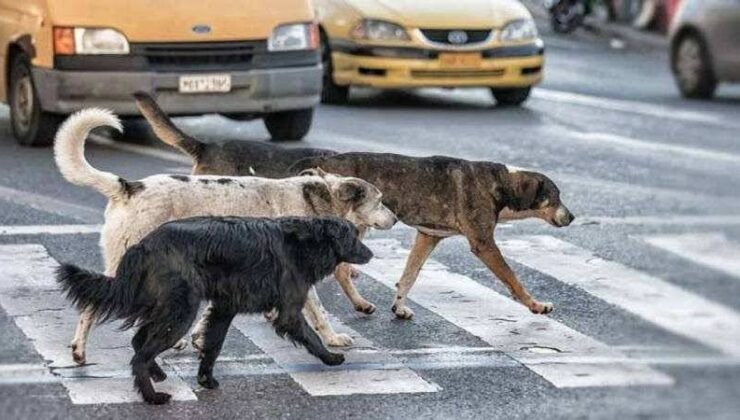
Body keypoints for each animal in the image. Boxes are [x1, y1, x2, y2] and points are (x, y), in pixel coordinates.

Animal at [54, 107, 396, 364]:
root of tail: (128, 187)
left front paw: (198, 337)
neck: (317, 202)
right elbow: (320, 313)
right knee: (92, 304)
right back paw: (80, 351)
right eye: (380, 201)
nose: (395, 218)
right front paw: (333, 339)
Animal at [56, 215, 376, 406]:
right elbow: (311, 336)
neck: (306, 240)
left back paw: (157, 374)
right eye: (353, 236)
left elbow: (213, 346)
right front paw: (331, 358)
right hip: (181, 311)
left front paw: (205, 380)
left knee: (139, 342)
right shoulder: (289, 311)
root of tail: (142, 244)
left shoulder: (224, 309)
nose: (372, 254)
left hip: (169, 308)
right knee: (140, 354)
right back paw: (152, 396)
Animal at [139, 93, 580, 320]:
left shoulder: (427, 237)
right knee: (339, 270)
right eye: (556, 196)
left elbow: (409, 275)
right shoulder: (483, 243)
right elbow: (512, 278)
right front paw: (535, 304)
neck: (500, 184)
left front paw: (399, 305)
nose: (572, 216)